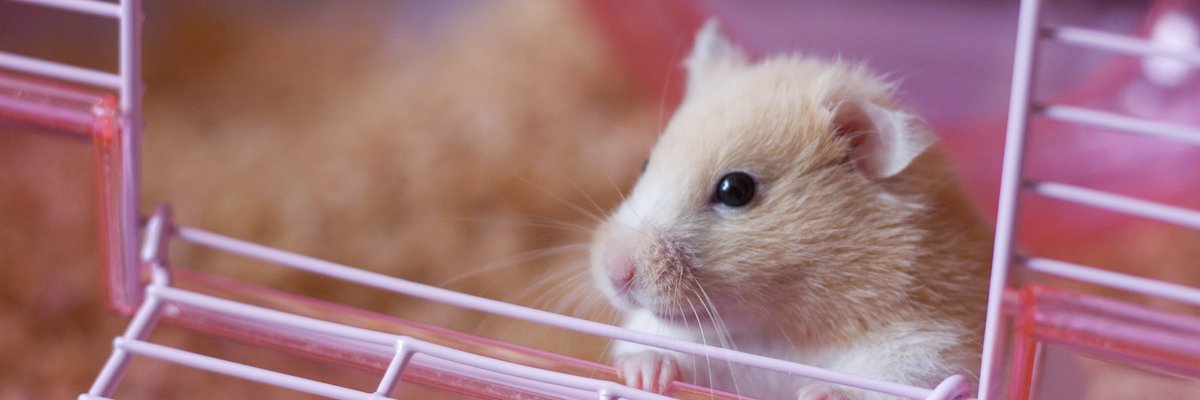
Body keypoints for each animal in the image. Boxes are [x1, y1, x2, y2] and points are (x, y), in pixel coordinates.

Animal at [589, 20, 992, 400]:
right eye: (645, 164)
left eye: (735, 190)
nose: (614, 271)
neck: (778, 330)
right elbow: (662, 347)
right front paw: (644, 375)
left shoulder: (931, 346)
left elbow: (887, 380)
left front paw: (818, 392)